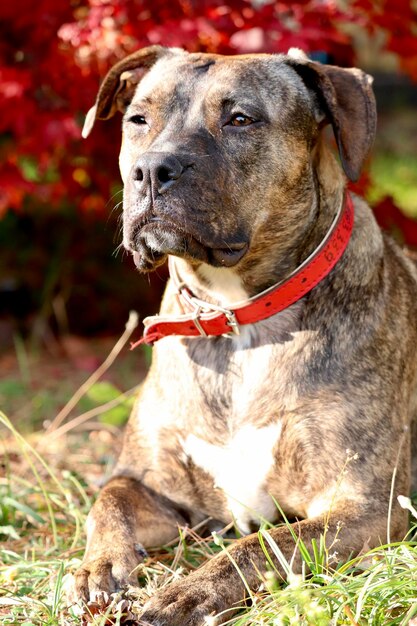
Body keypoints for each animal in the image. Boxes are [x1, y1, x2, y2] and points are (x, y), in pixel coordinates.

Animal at [74, 47, 416, 624]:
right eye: (138, 119)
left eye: (240, 119)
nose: (151, 170)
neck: (236, 318)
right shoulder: (149, 482)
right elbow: (110, 501)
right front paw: (101, 568)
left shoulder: (364, 507)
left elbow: (260, 545)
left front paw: (190, 592)